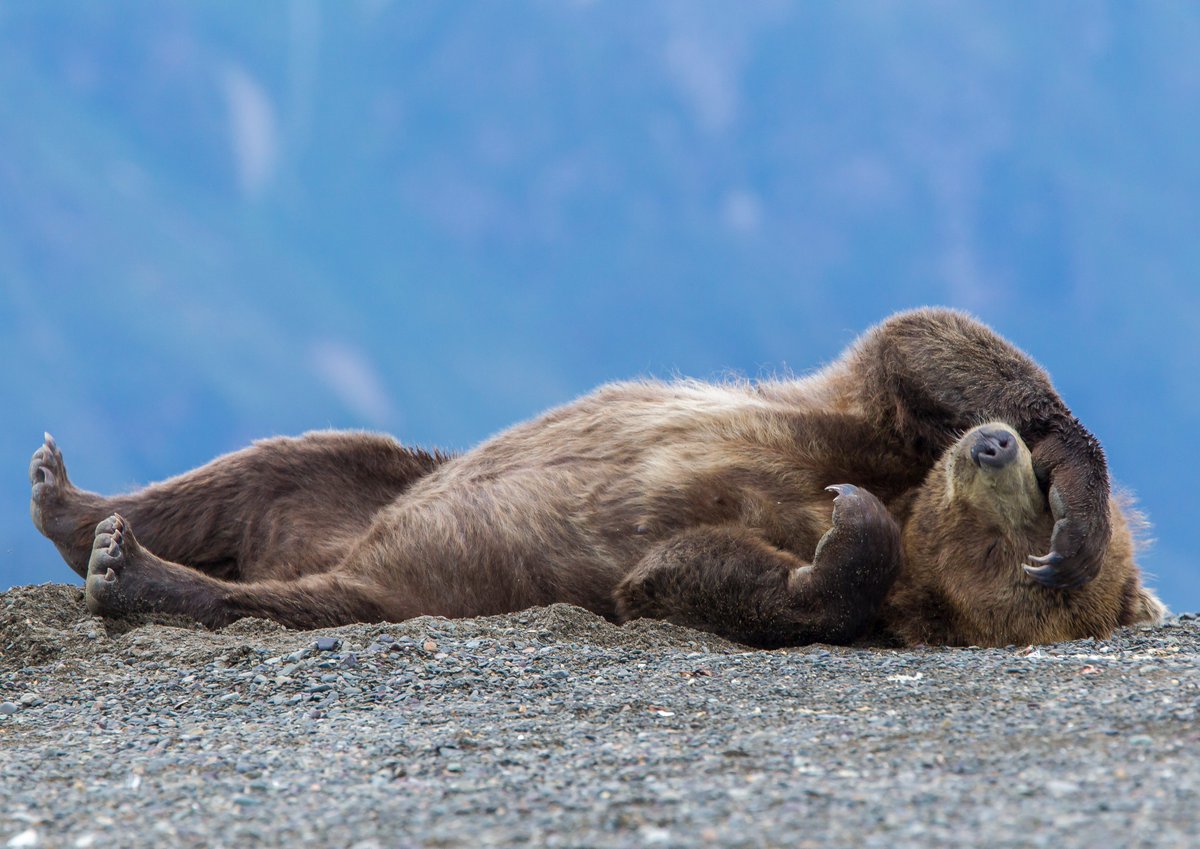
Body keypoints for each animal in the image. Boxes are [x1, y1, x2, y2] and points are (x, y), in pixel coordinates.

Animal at [25, 309, 1161, 647]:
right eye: (1021, 524)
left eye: (1002, 548)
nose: (994, 454)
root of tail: (352, 542)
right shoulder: (853, 421)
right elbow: (926, 346)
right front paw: (1078, 488)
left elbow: (686, 574)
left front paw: (850, 541)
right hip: (385, 477)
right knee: (281, 460)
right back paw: (73, 498)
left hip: (409, 580)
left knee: (306, 597)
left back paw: (131, 568)